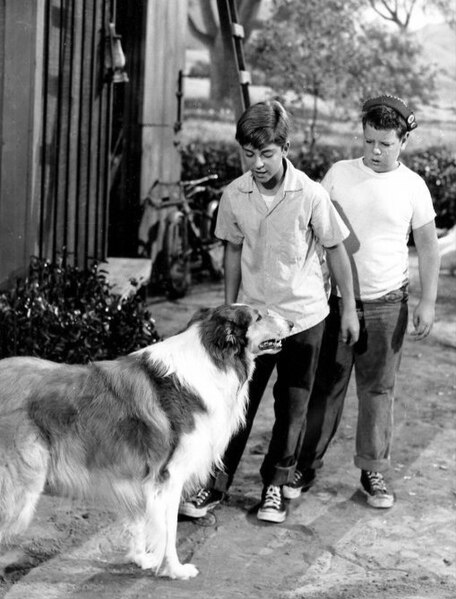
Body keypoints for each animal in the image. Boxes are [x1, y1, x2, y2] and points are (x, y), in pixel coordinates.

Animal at [0, 308, 292, 580]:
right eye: (258, 316)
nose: (292, 323)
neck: (212, 359)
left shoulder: (142, 477)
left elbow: (139, 521)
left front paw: (141, 558)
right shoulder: (170, 476)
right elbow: (169, 529)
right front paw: (174, 569)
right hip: (23, 487)